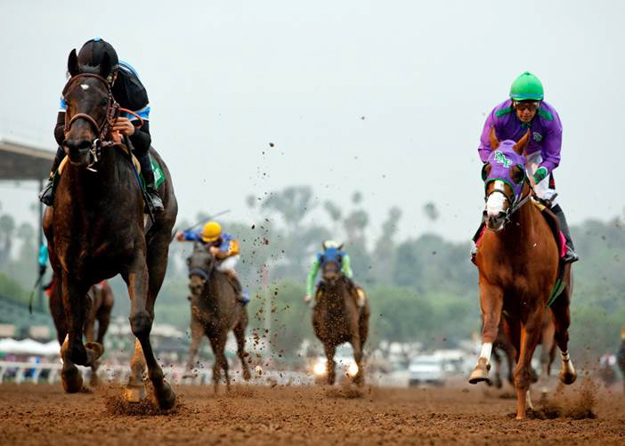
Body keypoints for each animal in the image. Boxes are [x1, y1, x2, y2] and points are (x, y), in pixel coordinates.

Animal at [42, 50, 177, 410]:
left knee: (148, 310)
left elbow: (141, 320)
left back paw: (135, 383)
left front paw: (161, 389)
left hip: (160, 249)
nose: (78, 144)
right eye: (67, 97)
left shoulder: (135, 258)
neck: (93, 199)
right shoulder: (70, 268)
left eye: (105, 100)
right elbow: (74, 334)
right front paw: (78, 363)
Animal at [184, 242, 250, 392]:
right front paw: (187, 372)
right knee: (224, 361)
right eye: (189, 260)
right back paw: (226, 388)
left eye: (208, 261)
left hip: (240, 325)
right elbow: (194, 346)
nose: (195, 285)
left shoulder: (222, 330)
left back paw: (245, 374)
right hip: (212, 335)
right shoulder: (198, 324)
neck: (210, 300)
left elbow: (219, 359)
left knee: (240, 351)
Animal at [468, 129, 576, 418]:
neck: (514, 245)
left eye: (517, 172)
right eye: (486, 169)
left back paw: (566, 375)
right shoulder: (491, 288)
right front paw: (480, 369)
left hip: (560, 301)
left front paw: (521, 415)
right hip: (512, 317)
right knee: (517, 349)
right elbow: (491, 329)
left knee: (561, 336)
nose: (494, 215)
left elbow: (529, 361)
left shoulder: (537, 305)